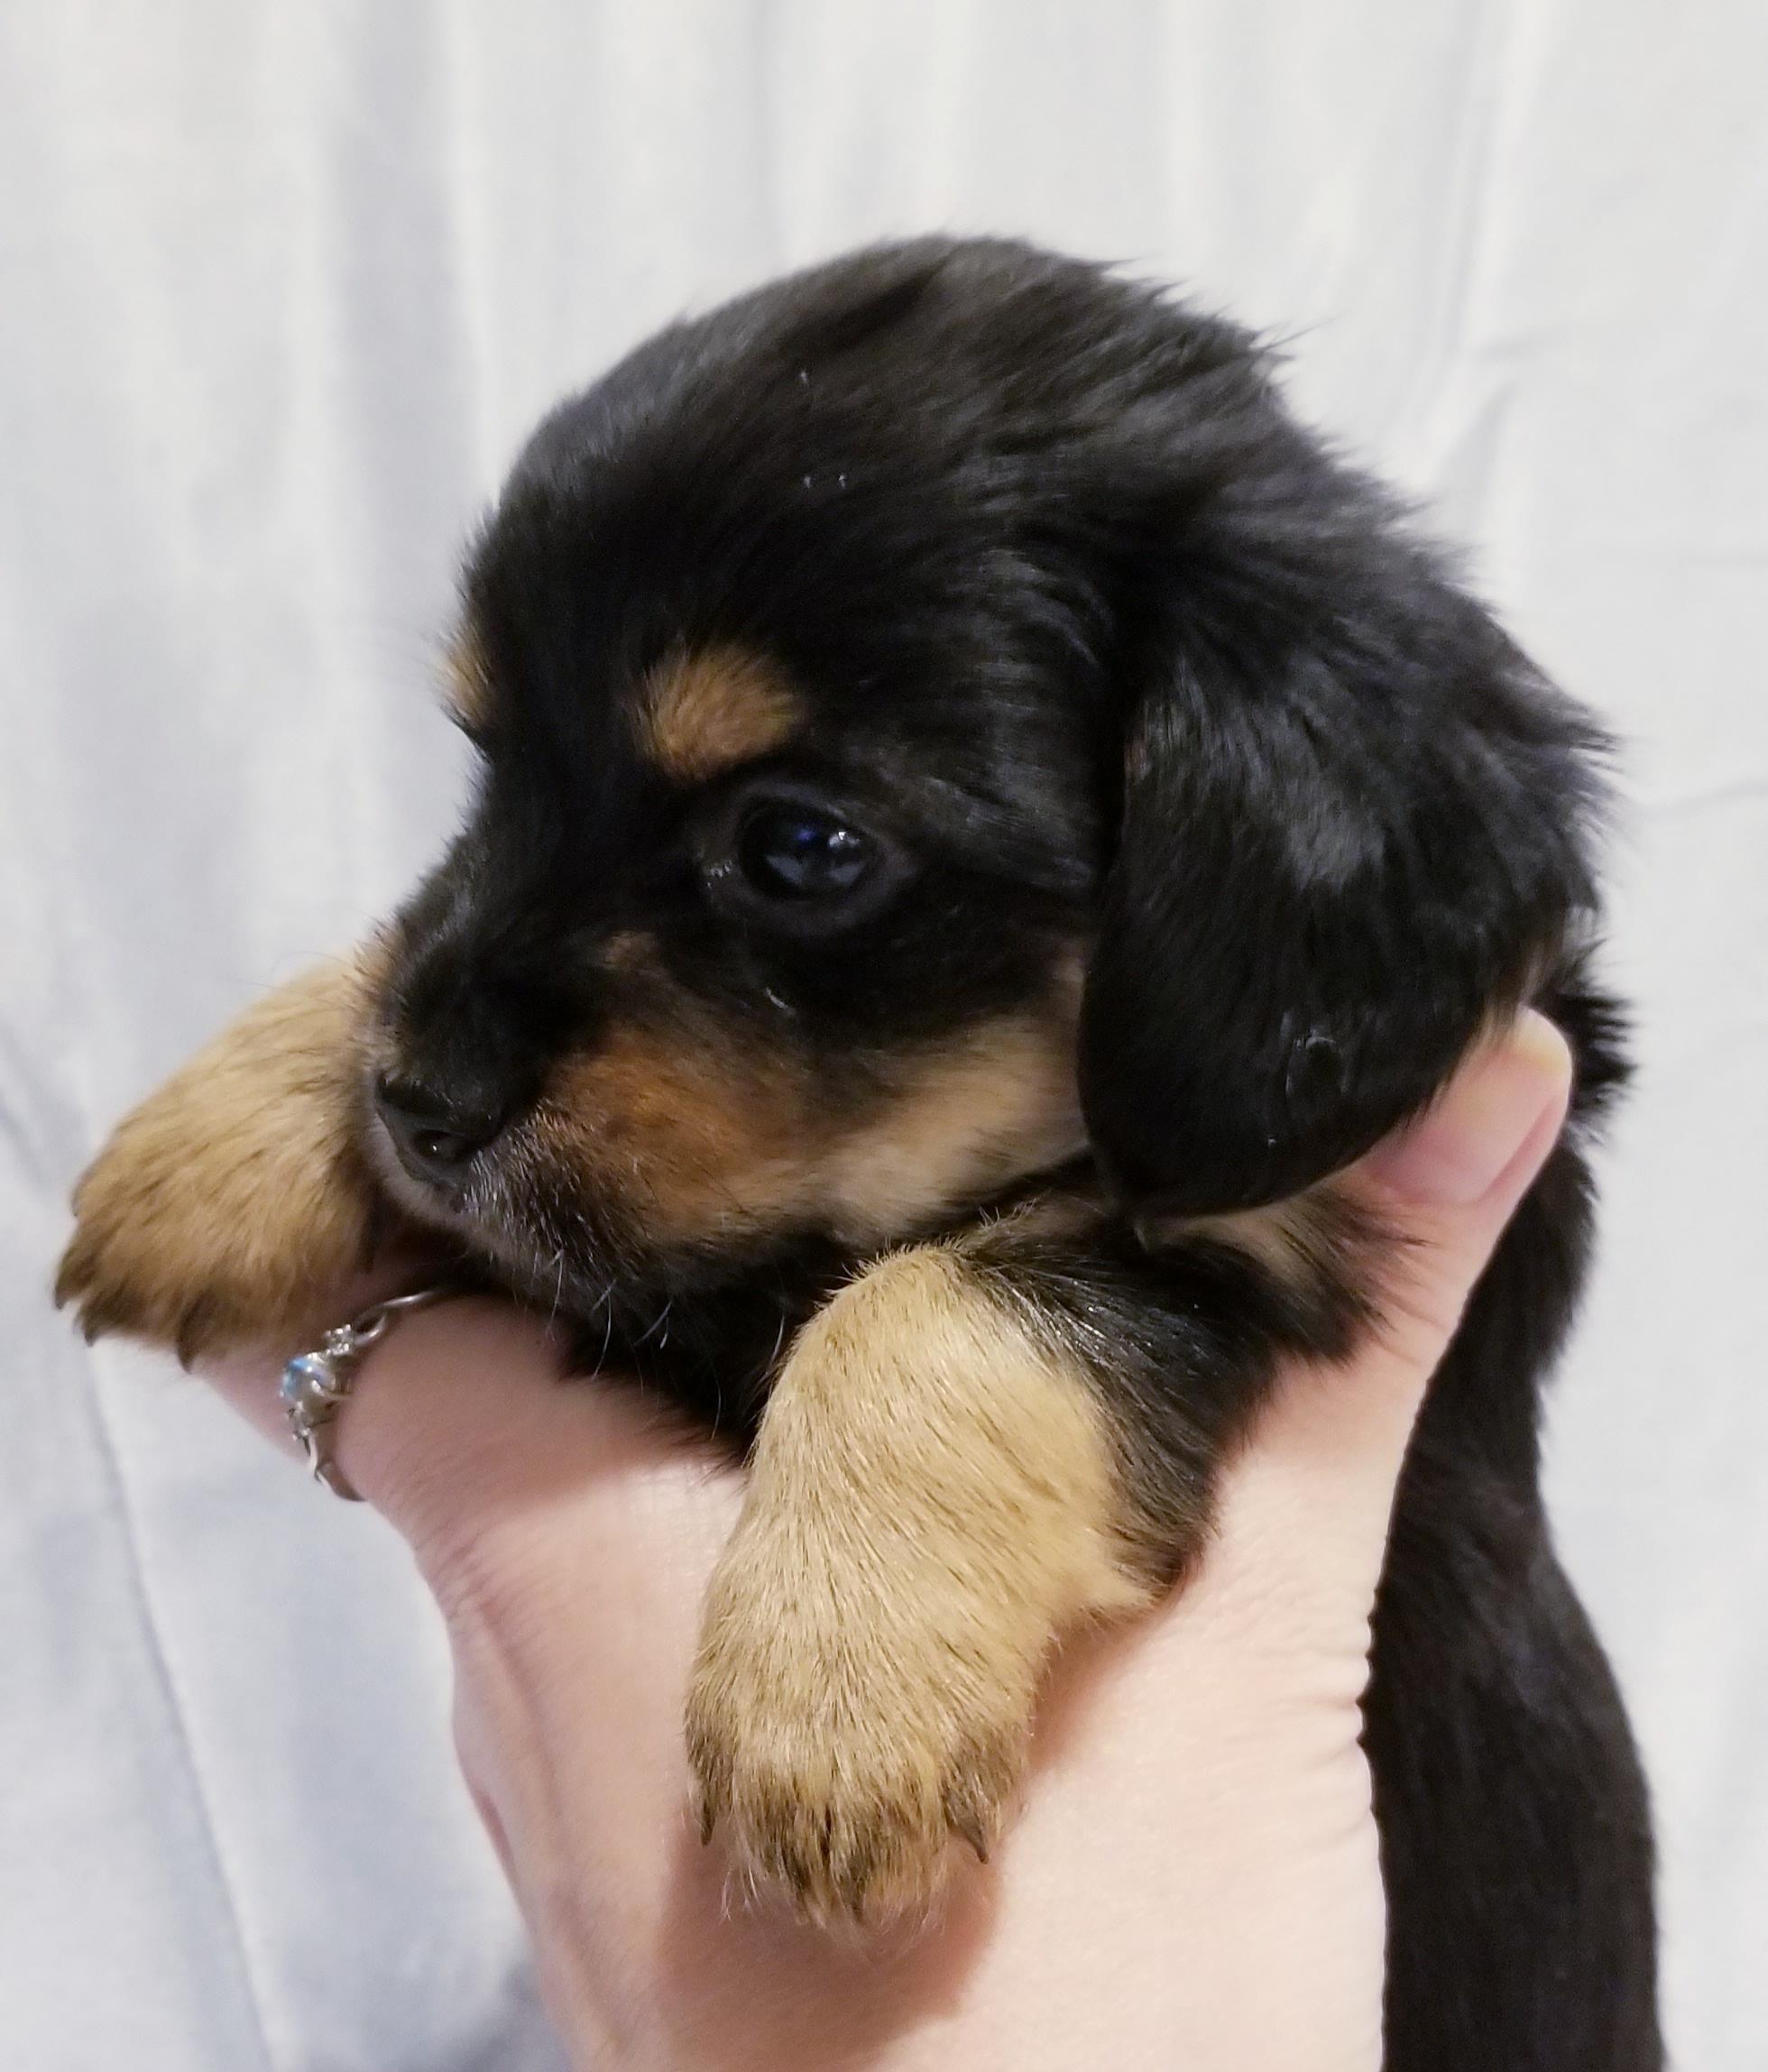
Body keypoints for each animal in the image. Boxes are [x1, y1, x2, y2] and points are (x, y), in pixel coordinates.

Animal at [55, 237, 1659, 2068]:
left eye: (804, 847)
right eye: (488, 765)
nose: (421, 1104)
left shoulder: (1272, 1239)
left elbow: (937, 1301)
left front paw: (831, 1695)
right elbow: (420, 946)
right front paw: (218, 1140)